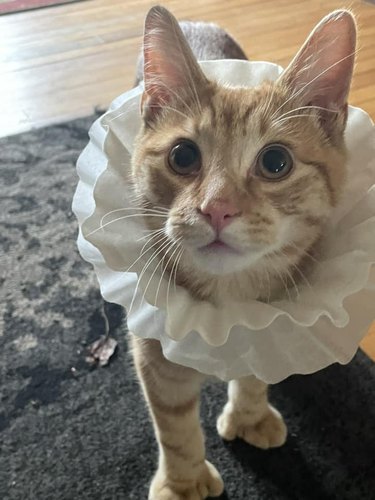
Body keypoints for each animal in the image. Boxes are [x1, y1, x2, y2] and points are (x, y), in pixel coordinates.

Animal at [128, 5, 356, 498]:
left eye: (275, 162)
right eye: (182, 156)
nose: (217, 208)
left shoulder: (267, 325)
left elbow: (254, 372)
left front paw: (251, 415)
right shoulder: (156, 356)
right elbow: (174, 426)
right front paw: (183, 481)